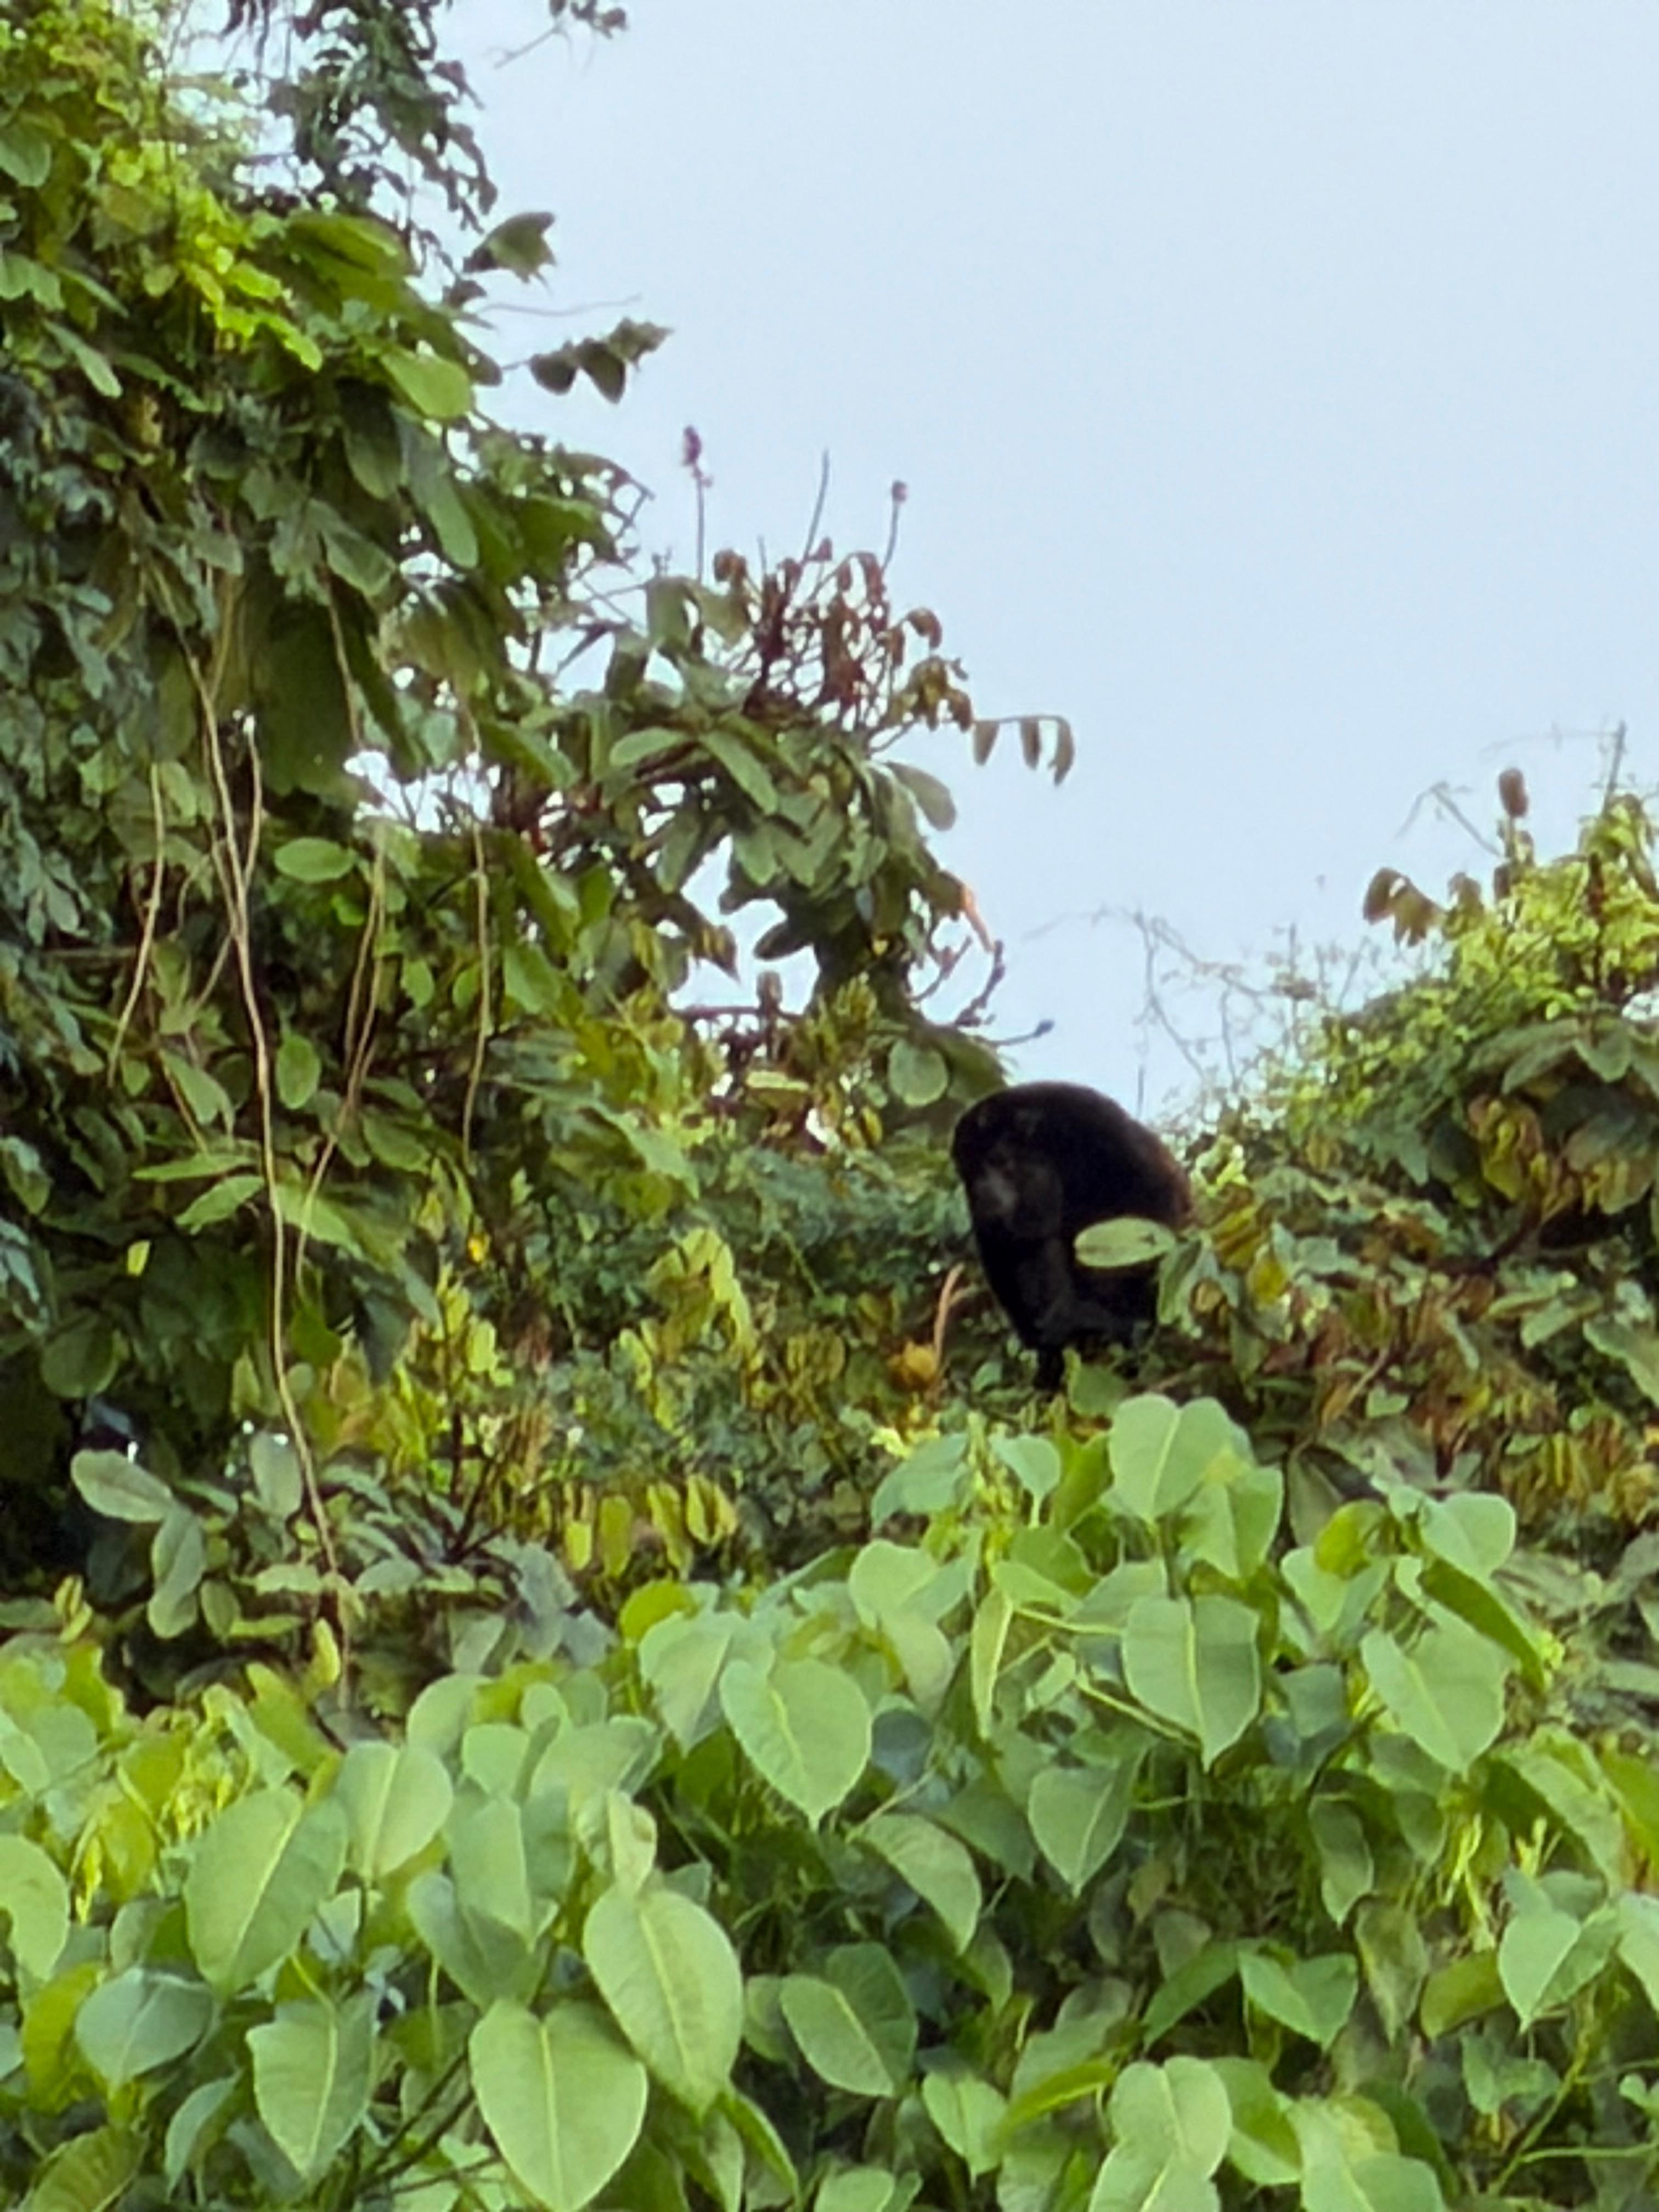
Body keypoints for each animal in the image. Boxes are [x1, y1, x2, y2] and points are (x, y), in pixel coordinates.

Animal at [951, 1082, 1191, 1389]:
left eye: (999, 1161)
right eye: (972, 1175)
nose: (984, 1194)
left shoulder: (1096, 1127)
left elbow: (1151, 1200)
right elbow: (1004, 1258)